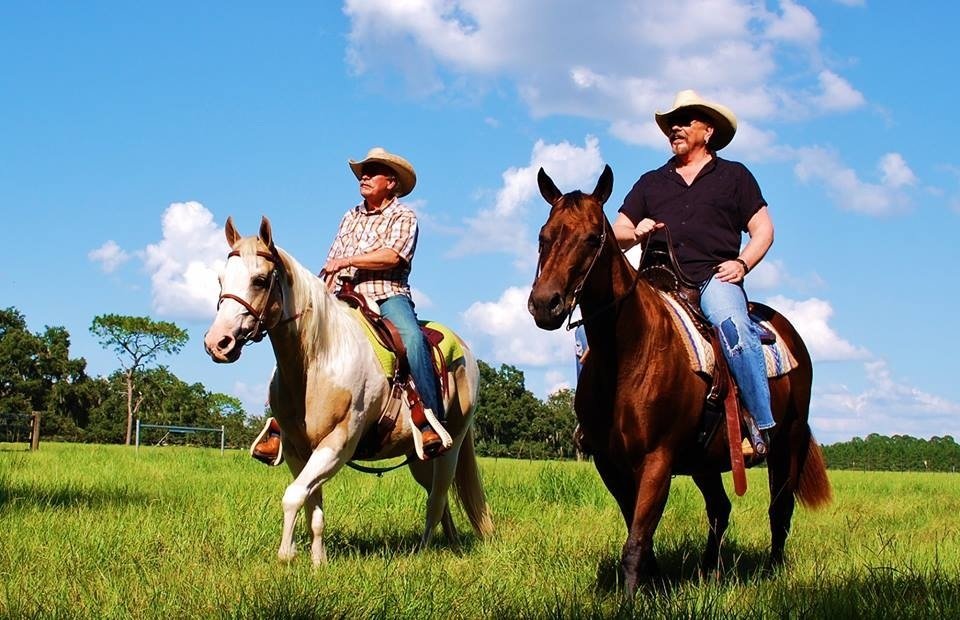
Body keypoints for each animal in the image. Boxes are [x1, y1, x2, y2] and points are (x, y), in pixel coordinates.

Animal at [208, 216, 496, 564]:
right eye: (221, 279)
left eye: (260, 280)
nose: (218, 343)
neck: (319, 360)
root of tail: (466, 350)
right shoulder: (297, 450)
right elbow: (312, 505)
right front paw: (318, 561)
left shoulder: (338, 444)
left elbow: (293, 495)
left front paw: (286, 555)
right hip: (419, 456)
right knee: (439, 501)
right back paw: (450, 543)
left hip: (450, 447)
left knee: (436, 500)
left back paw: (423, 551)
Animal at [528, 166, 828, 596]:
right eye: (543, 235)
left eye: (592, 237)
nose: (544, 304)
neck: (629, 351)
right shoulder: (609, 463)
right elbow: (641, 537)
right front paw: (653, 585)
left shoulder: (657, 459)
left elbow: (636, 542)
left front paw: (631, 601)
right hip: (706, 459)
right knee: (720, 509)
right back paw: (708, 572)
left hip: (787, 442)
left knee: (779, 509)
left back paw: (772, 570)